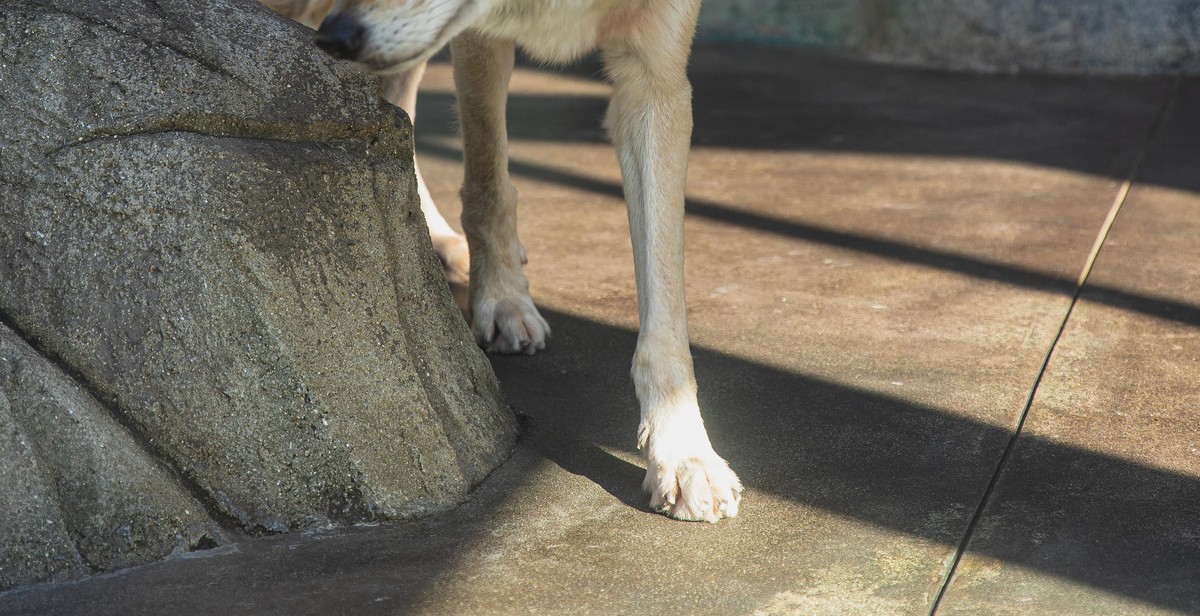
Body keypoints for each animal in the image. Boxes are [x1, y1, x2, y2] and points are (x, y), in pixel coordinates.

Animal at [262, 0, 739, 521]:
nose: (337, 37)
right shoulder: (477, 36)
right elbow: (488, 186)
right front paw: (504, 301)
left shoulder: (654, 75)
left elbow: (664, 304)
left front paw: (685, 455)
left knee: (397, 110)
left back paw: (440, 241)